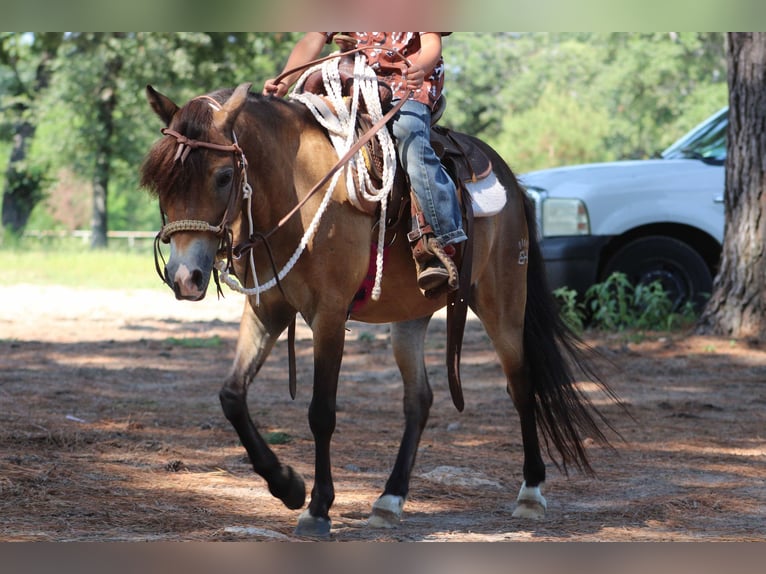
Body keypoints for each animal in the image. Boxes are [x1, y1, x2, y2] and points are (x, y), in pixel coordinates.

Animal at [140, 81, 617, 538]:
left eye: (223, 176)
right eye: (161, 184)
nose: (185, 277)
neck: (294, 188)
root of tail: (510, 179)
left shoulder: (329, 315)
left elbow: (321, 412)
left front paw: (317, 508)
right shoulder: (267, 309)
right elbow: (232, 396)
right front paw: (287, 485)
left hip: (502, 304)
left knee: (521, 385)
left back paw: (531, 493)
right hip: (410, 315)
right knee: (419, 400)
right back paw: (389, 500)